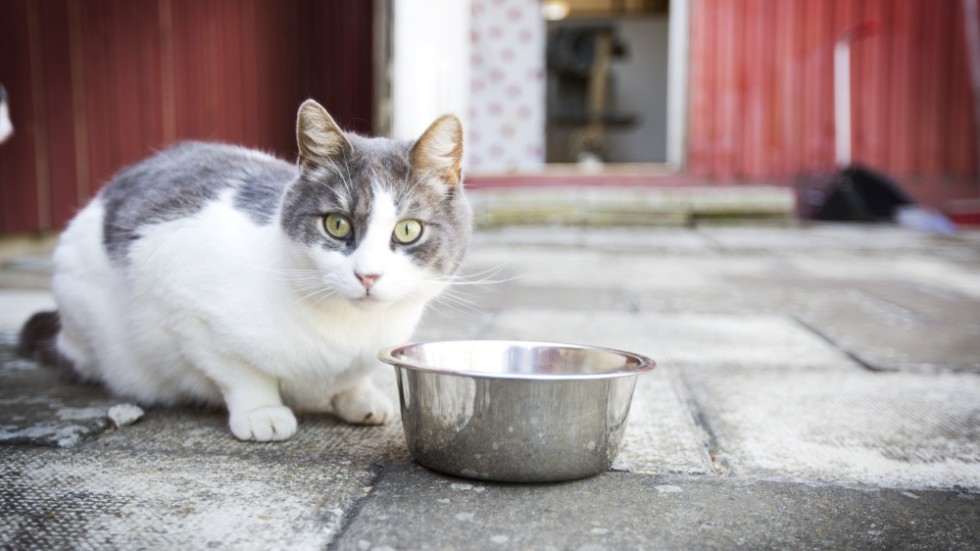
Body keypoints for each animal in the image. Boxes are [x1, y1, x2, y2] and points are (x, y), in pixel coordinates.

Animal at [17, 99, 470, 442]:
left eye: (408, 230)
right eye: (337, 224)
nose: (368, 275)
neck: (348, 330)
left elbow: (351, 378)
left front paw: (359, 397)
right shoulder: (182, 302)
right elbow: (238, 371)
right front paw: (262, 411)